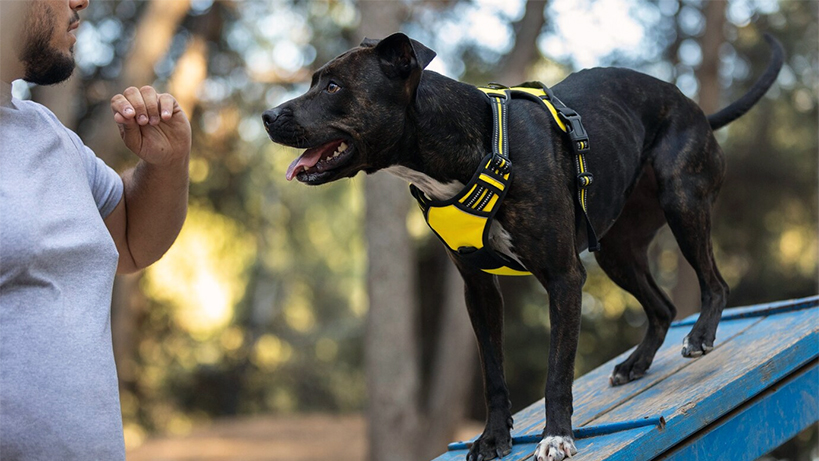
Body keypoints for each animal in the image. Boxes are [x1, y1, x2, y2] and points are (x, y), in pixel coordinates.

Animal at [266, 33, 784, 460]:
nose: (268, 116)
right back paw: (635, 364)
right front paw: (493, 439)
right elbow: (493, 375)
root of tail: (692, 106)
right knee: (661, 307)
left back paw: (699, 337)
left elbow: (557, 372)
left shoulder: (563, 278)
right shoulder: (478, 290)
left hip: (682, 200)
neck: (468, 144)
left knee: (715, 283)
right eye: (314, 81)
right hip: (617, 251)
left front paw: (556, 437)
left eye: (333, 87)